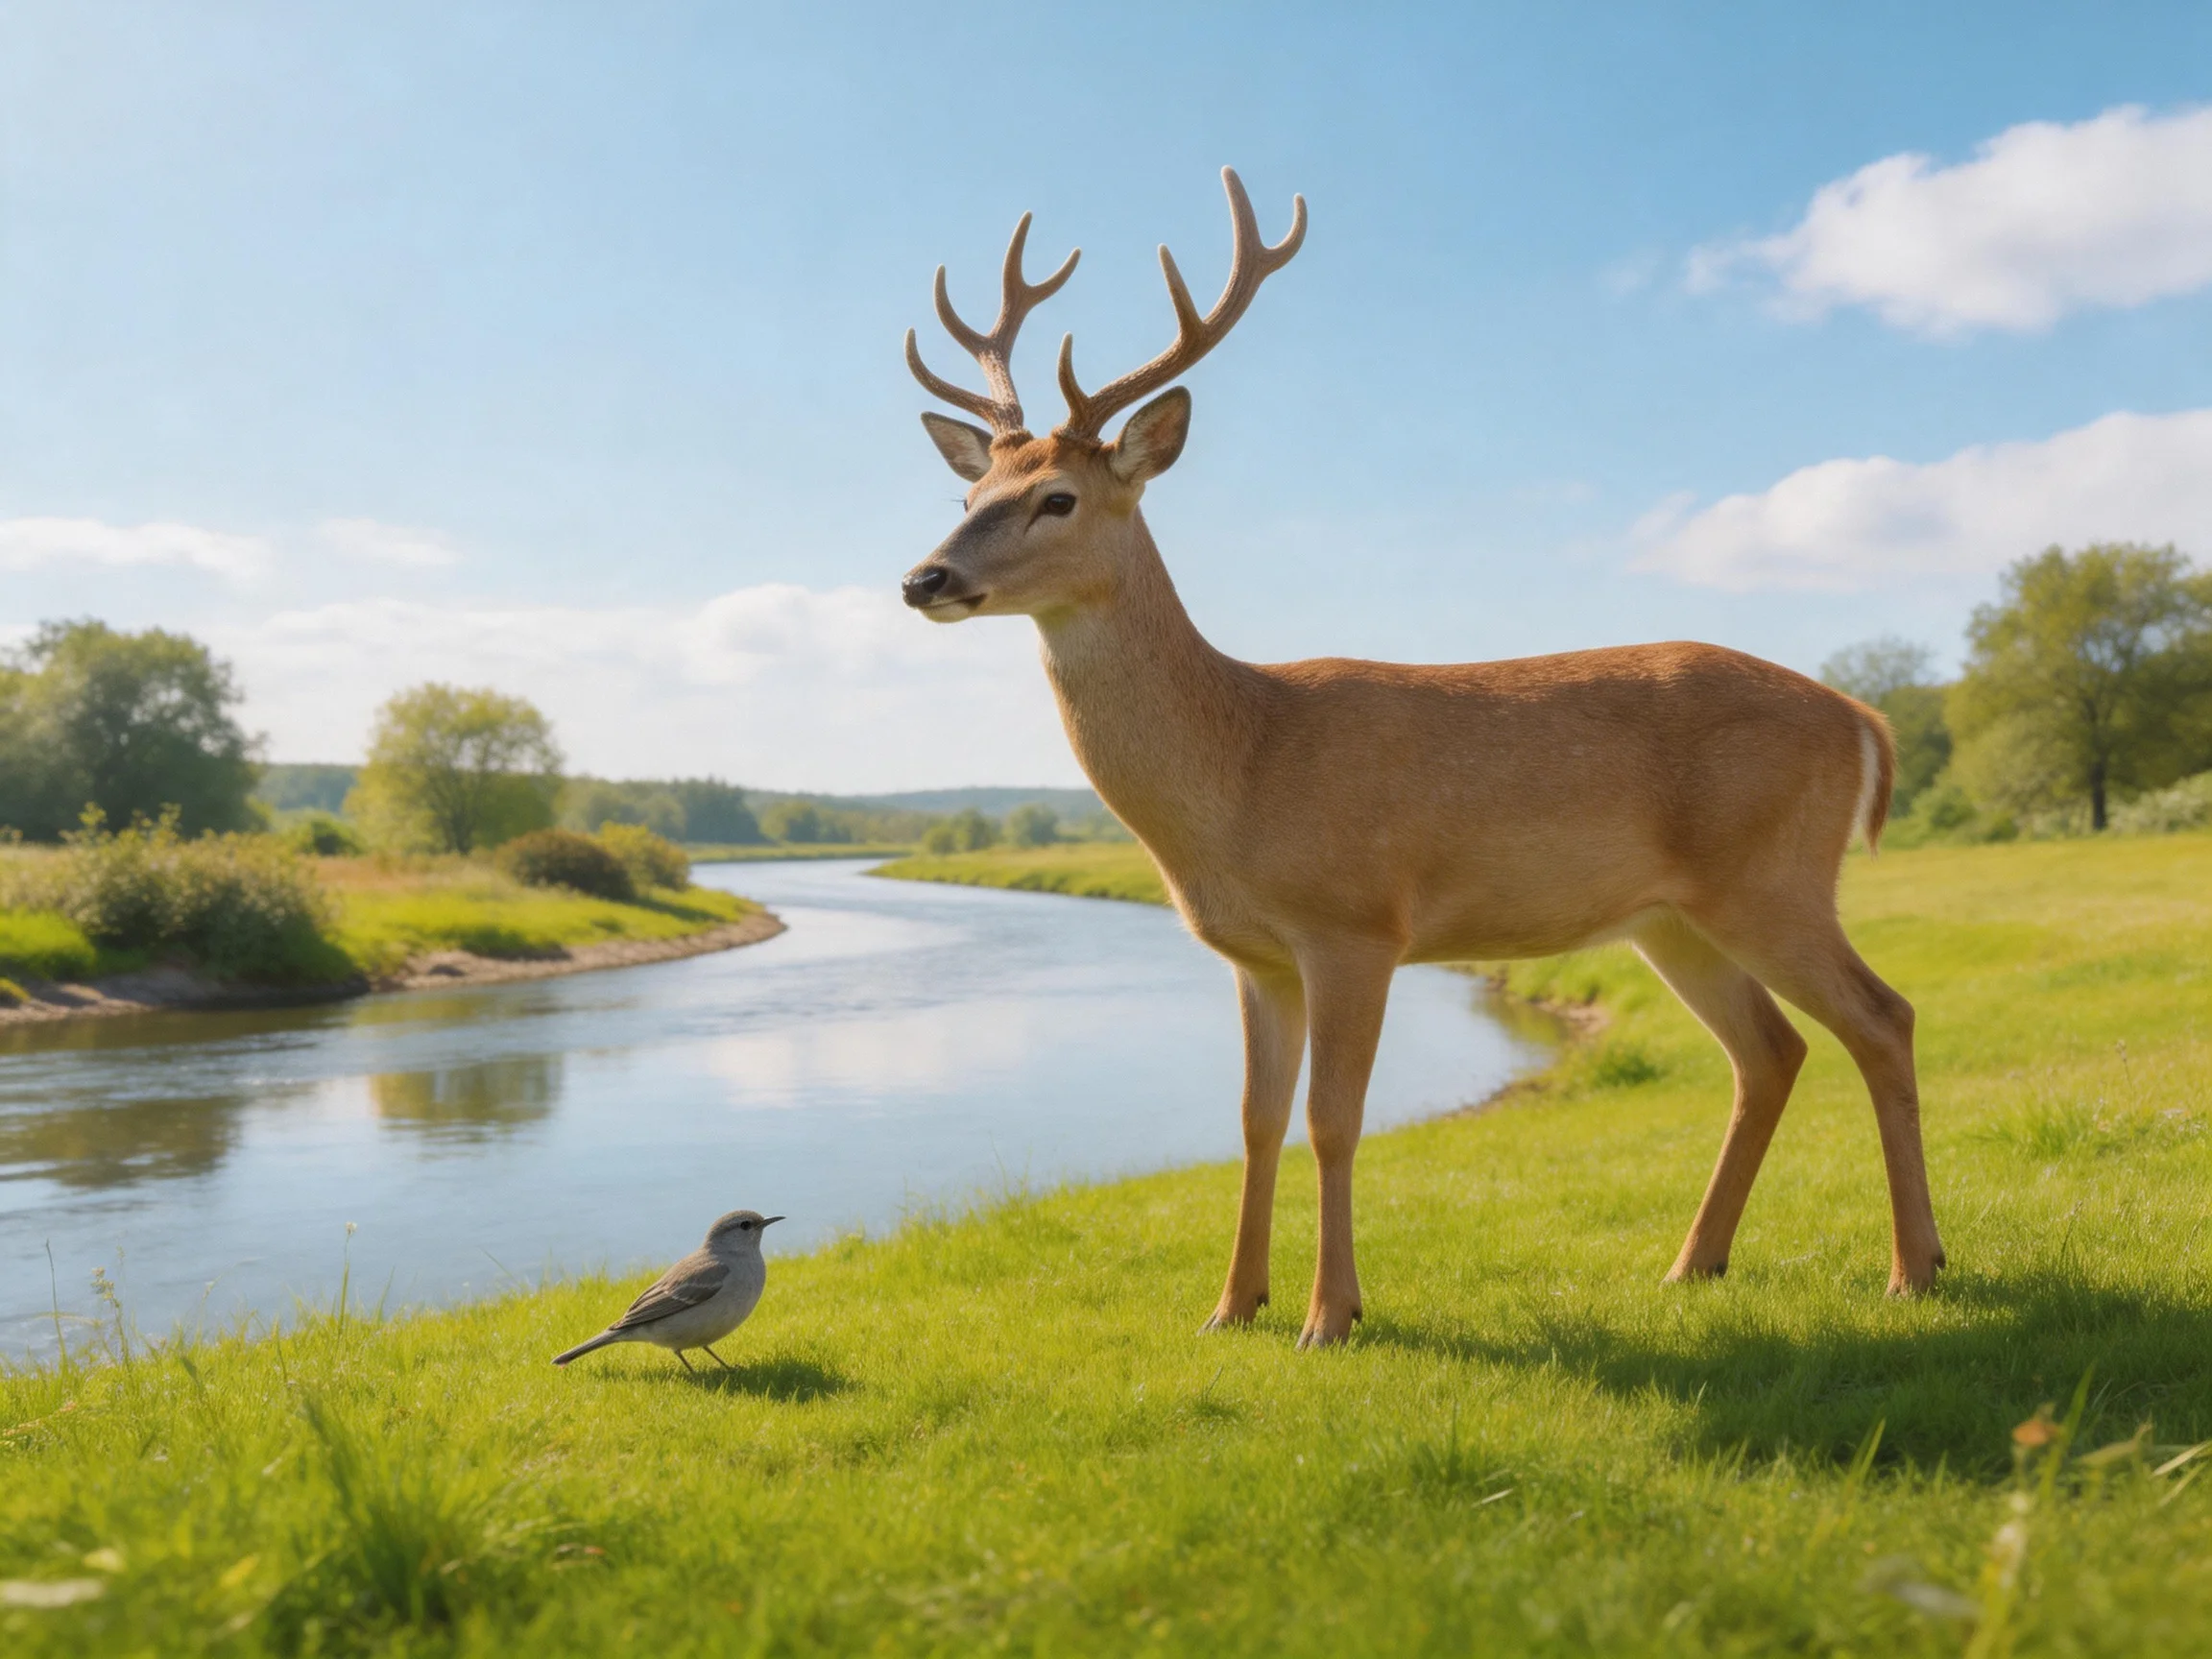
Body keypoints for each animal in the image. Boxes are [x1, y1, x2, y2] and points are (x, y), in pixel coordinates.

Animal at [900, 168, 1944, 1348]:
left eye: (1058, 498)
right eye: (967, 496)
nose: (925, 578)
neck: (1241, 767)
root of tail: (1862, 719)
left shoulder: (1357, 923)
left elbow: (1333, 1120)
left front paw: (1330, 1314)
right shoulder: (1254, 955)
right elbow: (1255, 1120)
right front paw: (1231, 1306)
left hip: (1774, 874)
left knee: (1882, 1018)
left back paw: (1915, 1269)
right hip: (1670, 917)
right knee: (1770, 1050)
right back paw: (1694, 1264)